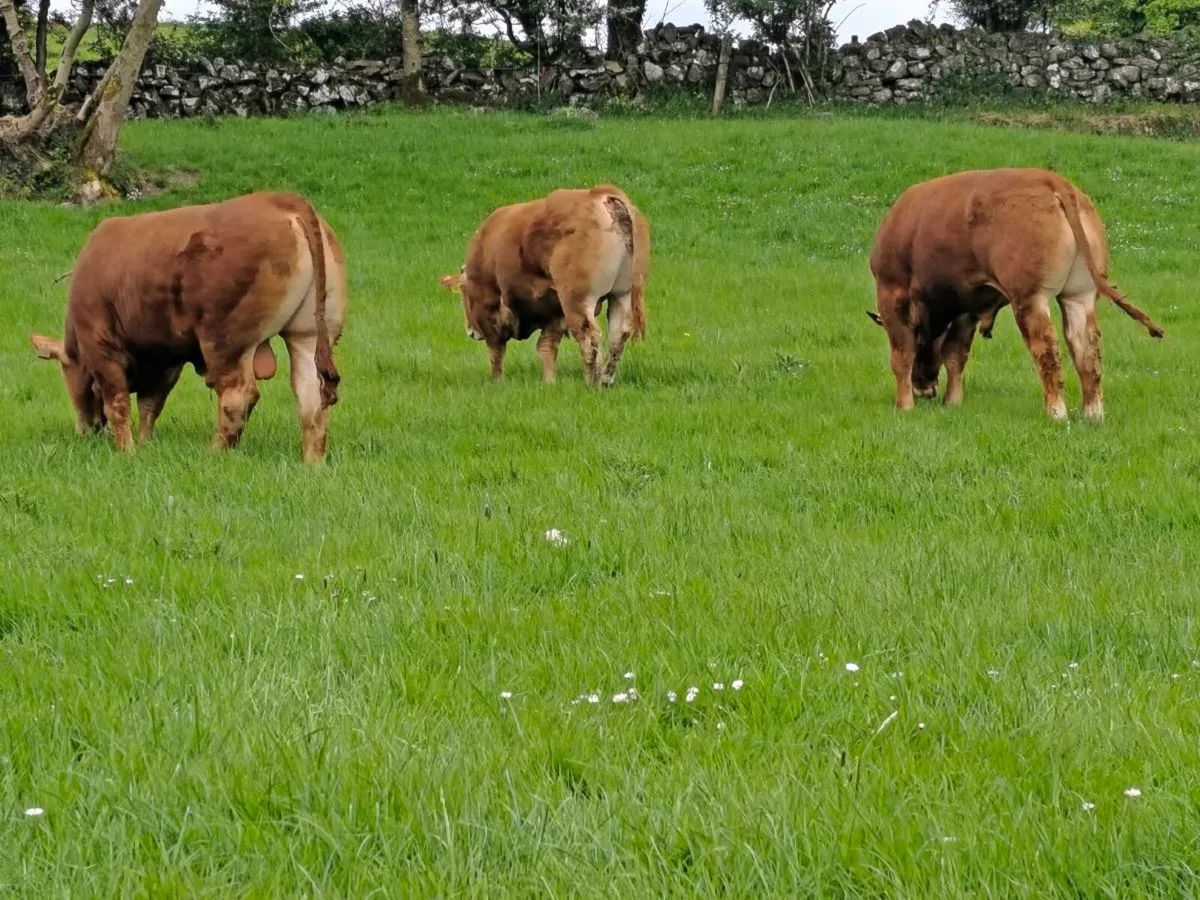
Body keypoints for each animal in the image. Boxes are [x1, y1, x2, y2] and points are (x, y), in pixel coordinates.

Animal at [29, 191, 347, 463]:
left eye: (65, 371)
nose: (86, 430)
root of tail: (282, 199)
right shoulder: (166, 358)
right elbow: (150, 404)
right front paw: (144, 445)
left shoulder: (100, 344)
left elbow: (117, 402)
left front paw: (126, 450)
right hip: (309, 334)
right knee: (311, 397)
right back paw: (312, 463)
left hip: (224, 341)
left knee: (238, 397)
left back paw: (214, 451)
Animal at [440, 184, 650, 386]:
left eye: (463, 293)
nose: (470, 330)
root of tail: (599, 194)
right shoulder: (555, 314)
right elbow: (546, 347)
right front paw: (549, 382)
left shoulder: (488, 307)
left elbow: (496, 351)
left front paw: (497, 382)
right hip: (621, 294)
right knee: (618, 335)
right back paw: (605, 379)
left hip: (577, 301)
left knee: (589, 338)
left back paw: (591, 383)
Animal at [869, 167, 1163, 421]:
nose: (924, 389)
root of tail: (1053, 181)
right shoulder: (967, 308)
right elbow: (955, 355)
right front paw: (953, 402)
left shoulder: (892, 292)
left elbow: (902, 354)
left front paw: (904, 406)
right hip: (1080, 295)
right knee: (1086, 349)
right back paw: (1092, 414)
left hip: (1030, 298)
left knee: (1046, 347)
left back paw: (1056, 412)